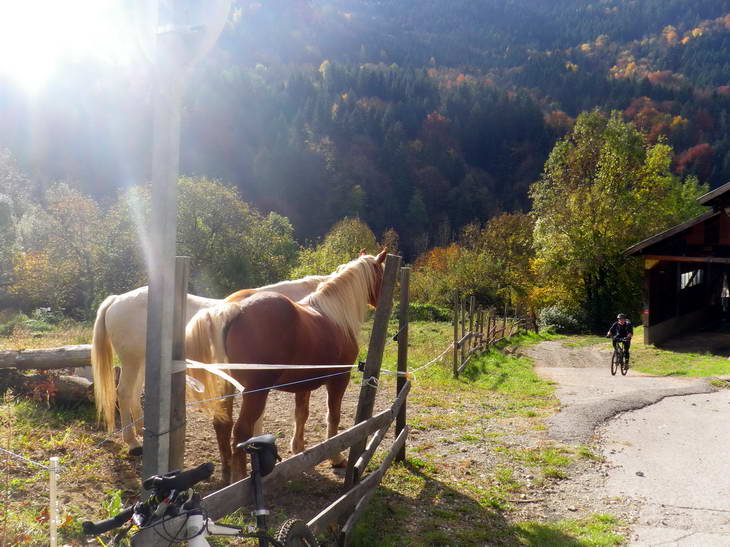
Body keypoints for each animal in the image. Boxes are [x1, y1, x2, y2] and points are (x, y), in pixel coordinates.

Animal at [90, 275, 330, 455]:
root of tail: (116, 299)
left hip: (142, 362)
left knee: (133, 394)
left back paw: (141, 431)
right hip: (132, 361)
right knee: (123, 392)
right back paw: (132, 443)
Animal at [185, 250, 386, 483]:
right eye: (381, 274)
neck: (335, 315)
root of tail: (233, 308)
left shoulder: (304, 384)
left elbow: (302, 414)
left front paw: (298, 449)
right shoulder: (339, 379)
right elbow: (333, 416)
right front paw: (336, 457)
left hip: (227, 389)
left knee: (222, 426)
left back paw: (227, 476)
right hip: (254, 393)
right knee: (241, 431)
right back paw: (240, 479)